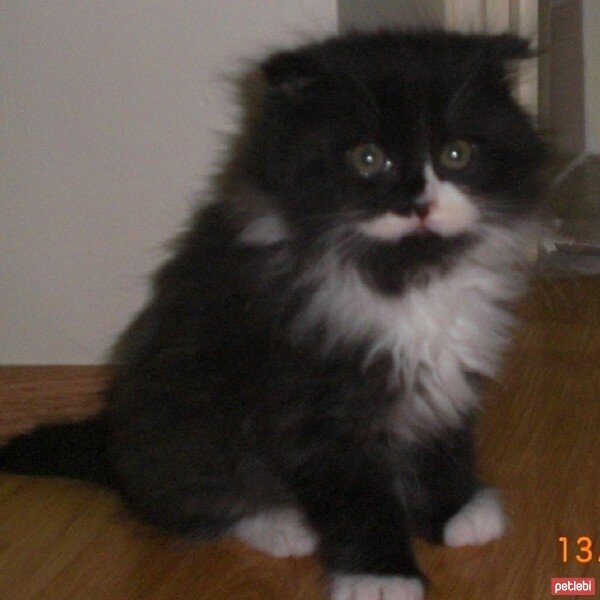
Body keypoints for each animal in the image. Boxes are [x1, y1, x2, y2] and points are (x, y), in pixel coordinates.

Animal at [0, 29, 548, 600]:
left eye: (456, 154)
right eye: (367, 158)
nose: (418, 204)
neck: (401, 276)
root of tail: (112, 441)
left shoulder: (443, 378)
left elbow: (443, 446)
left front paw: (455, 512)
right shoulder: (316, 406)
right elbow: (359, 499)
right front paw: (380, 575)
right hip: (189, 424)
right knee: (196, 499)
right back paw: (280, 523)